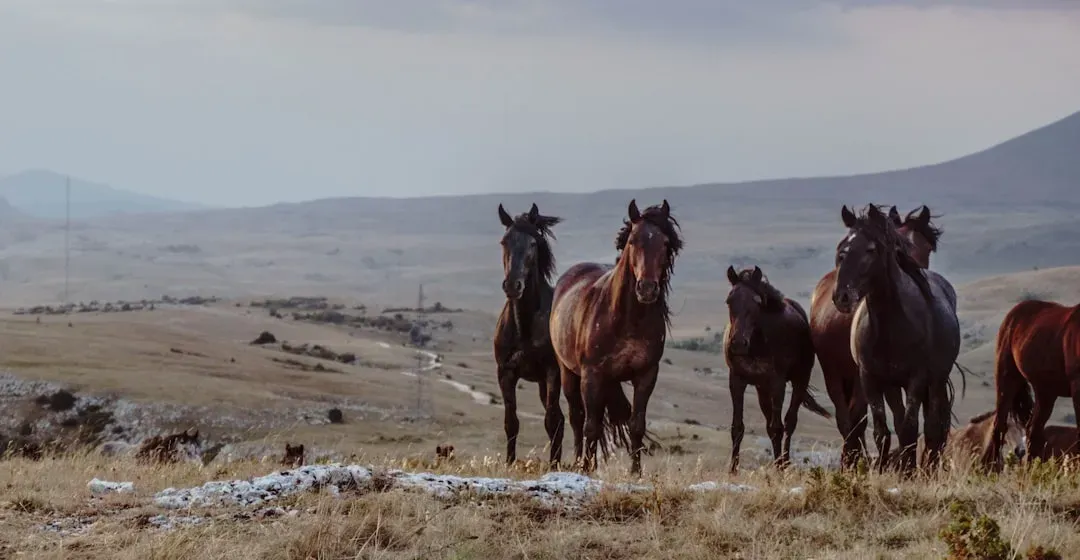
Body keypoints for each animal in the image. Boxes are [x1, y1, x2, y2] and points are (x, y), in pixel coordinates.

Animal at [493, 203, 566, 467]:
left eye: (533, 243)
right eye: (504, 241)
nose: (513, 285)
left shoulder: (553, 372)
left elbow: (551, 421)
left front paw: (554, 467)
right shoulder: (506, 373)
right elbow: (511, 422)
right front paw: (509, 463)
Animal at [550, 199, 681, 475]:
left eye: (665, 243)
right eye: (632, 240)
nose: (647, 288)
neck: (627, 320)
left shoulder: (646, 375)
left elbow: (636, 424)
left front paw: (635, 472)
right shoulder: (592, 375)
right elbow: (589, 425)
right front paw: (586, 468)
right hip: (568, 373)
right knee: (578, 417)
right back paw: (579, 461)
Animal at [724, 265, 833, 473]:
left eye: (757, 301)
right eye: (729, 300)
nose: (738, 344)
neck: (757, 344)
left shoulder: (777, 383)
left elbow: (777, 427)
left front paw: (780, 469)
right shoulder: (737, 381)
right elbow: (737, 427)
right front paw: (732, 470)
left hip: (799, 380)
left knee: (789, 423)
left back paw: (785, 463)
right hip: (762, 389)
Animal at [982, 298, 1080, 469]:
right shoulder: (1077, 386)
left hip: (1045, 392)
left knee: (1033, 431)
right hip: (1007, 379)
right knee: (999, 426)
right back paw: (991, 468)